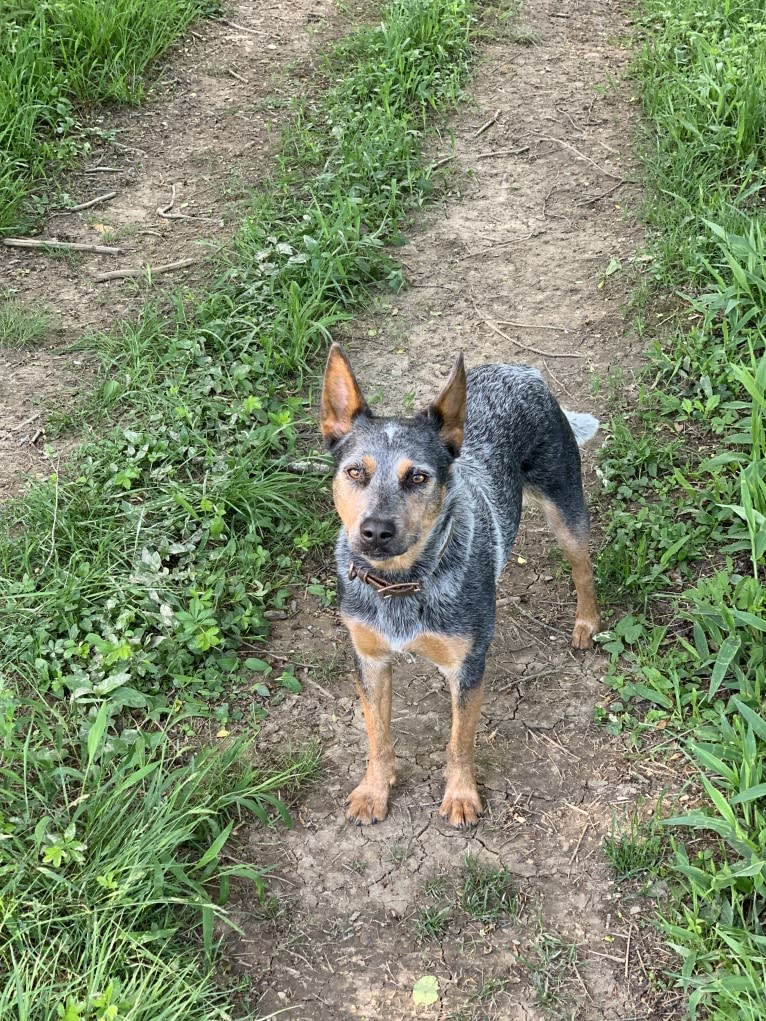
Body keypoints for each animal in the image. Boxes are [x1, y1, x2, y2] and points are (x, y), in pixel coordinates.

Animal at [320, 343, 604, 829]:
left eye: (418, 477)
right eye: (356, 472)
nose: (375, 531)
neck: (403, 583)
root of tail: (520, 369)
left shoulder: (467, 667)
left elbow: (460, 740)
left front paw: (460, 795)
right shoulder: (369, 660)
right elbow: (378, 735)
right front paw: (374, 791)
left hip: (565, 505)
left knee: (582, 567)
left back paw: (587, 622)